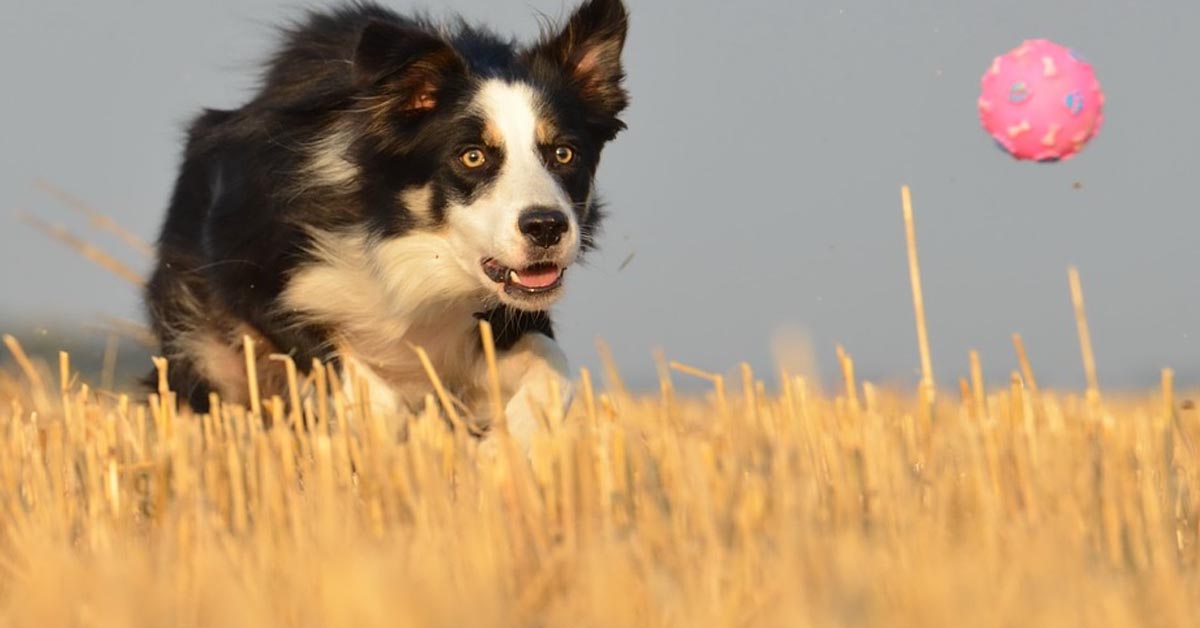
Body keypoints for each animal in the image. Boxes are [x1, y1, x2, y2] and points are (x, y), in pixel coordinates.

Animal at [146, 1, 633, 451]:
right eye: (472, 155)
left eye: (564, 153)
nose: (546, 228)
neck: (412, 247)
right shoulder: (250, 276)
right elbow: (363, 386)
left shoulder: (494, 319)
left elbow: (554, 369)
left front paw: (500, 450)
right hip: (205, 351)